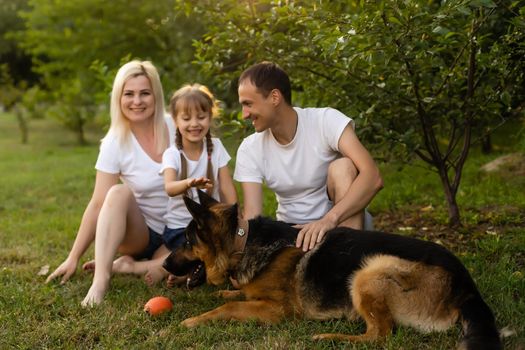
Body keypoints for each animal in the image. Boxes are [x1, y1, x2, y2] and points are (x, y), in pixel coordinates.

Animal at [163, 191, 500, 350]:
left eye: (187, 241)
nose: (165, 265)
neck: (242, 242)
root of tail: (467, 287)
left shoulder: (278, 310)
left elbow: (230, 306)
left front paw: (192, 320)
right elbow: (235, 294)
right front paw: (225, 290)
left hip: (369, 271)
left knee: (380, 336)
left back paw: (329, 336)